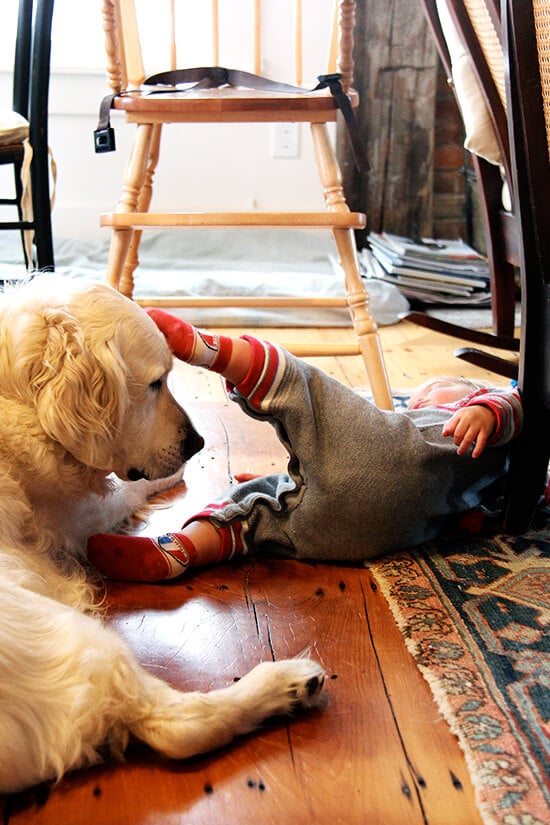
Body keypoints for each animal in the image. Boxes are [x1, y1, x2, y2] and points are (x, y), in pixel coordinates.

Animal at [0, 276, 326, 792]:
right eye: (155, 383)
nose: (198, 442)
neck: (17, 399)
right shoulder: (72, 514)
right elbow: (127, 489)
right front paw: (175, 476)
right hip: (66, 635)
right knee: (179, 727)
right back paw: (288, 683)